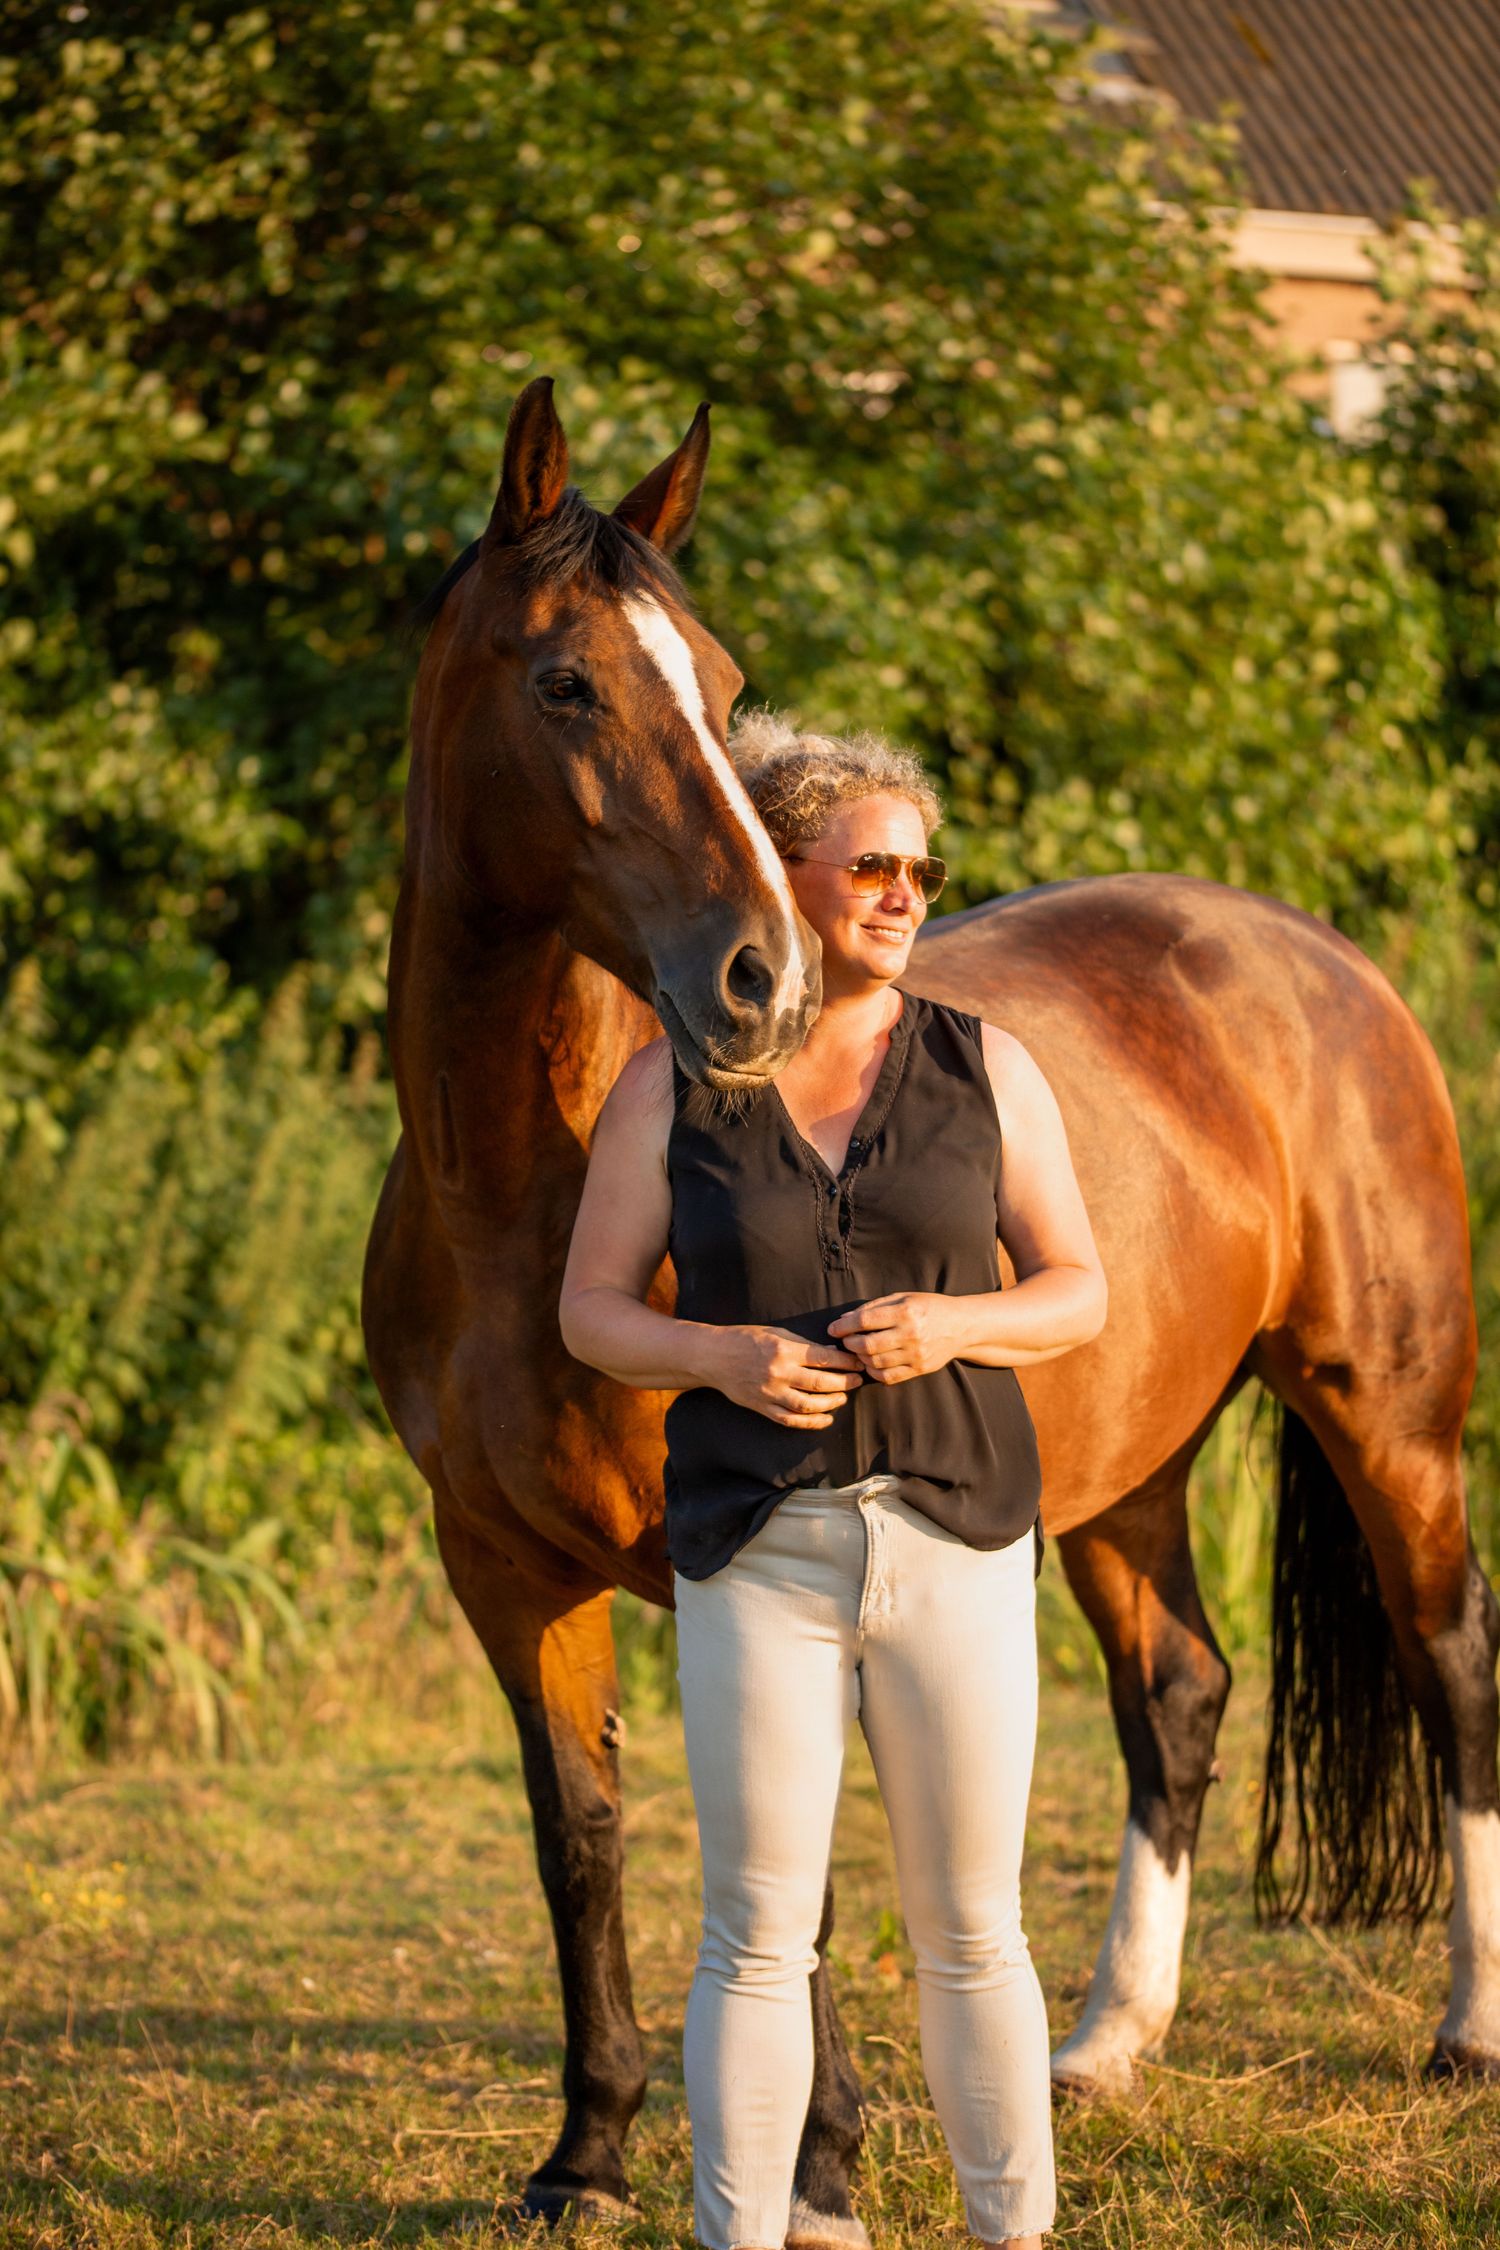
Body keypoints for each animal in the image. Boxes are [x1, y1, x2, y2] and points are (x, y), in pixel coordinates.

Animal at [366, 382, 1500, 2232]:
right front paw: (585, 2157)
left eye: (727, 683)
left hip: (1388, 1416)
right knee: (1179, 1695)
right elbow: (579, 1837)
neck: (521, 1205)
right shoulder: (504, 1568)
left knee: (1449, 1658)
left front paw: (818, 2162)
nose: (763, 975)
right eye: (565, 682)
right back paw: (1104, 2046)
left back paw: (1468, 2030)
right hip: (1125, 1469)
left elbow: (798, 1869)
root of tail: (1313, 957)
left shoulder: (738, 1556)